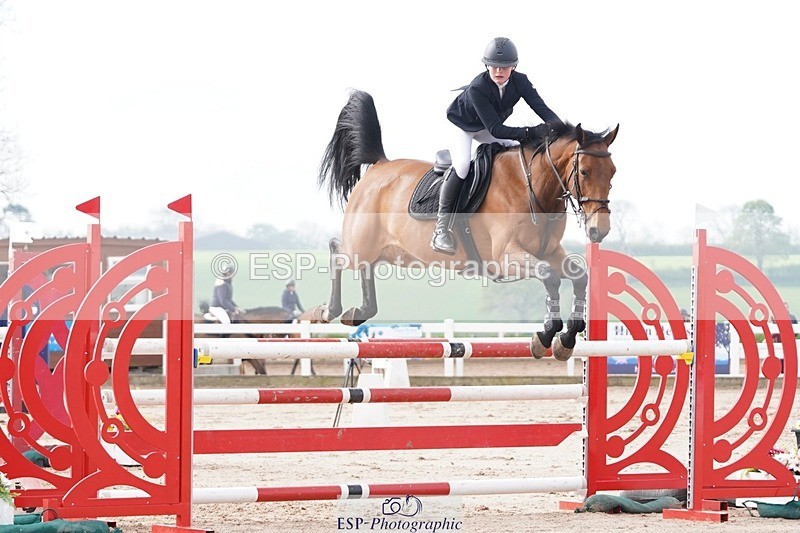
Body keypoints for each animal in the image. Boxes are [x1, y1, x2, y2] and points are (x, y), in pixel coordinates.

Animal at [313, 90, 618, 361]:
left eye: (613, 173)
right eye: (584, 172)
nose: (599, 230)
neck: (533, 188)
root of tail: (379, 164)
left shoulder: (551, 252)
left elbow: (579, 277)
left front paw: (566, 340)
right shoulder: (506, 257)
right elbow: (550, 277)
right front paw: (544, 337)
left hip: (395, 253)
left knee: (365, 266)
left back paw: (359, 312)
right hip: (362, 245)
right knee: (337, 251)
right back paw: (328, 311)